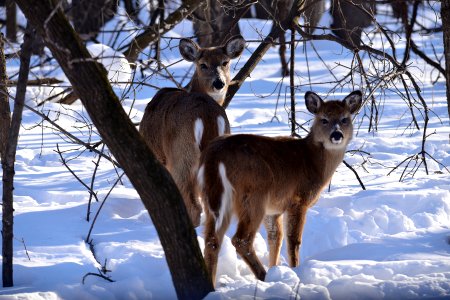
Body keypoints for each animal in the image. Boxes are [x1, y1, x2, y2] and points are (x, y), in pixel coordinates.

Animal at [141, 34, 246, 227]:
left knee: (194, 204)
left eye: (225, 62)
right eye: (203, 64)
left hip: (183, 154)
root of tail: (207, 116)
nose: (219, 83)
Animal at [199, 89, 364, 284]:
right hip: (253, 195)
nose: (336, 135)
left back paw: (212, 284)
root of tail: (215, 157)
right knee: (240, 239)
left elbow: (275, 238)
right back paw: (263, 276)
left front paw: (276, 269)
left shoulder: (274, 209)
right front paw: (294, 270)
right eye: (324, 119)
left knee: (211, 239)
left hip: (212, 196)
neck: (313, 160)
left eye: (345, 119)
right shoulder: (298, 199)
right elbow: (293, 240)